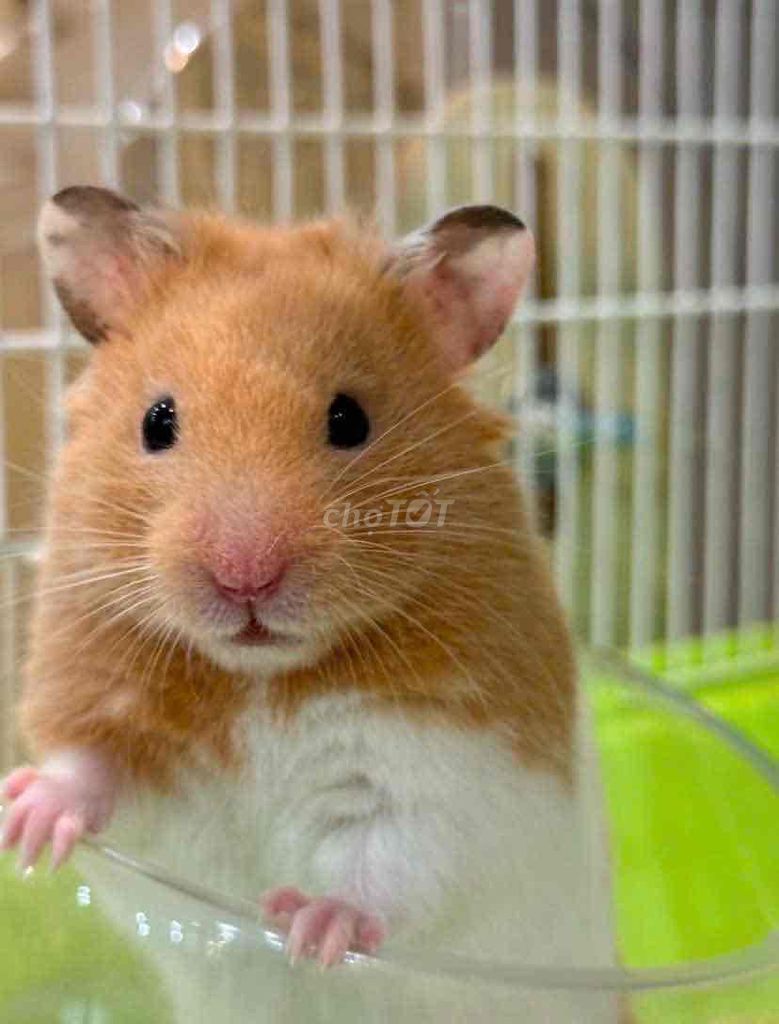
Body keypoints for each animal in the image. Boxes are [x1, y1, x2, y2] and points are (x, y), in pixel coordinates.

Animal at [1, 187, 616, 1020]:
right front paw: (23, 822)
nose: (244, 578)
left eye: (348, 419)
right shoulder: (109, 714)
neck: (259, 678)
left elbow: (388, 863)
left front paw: (306, 929)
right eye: (158, 420)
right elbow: (88, 769)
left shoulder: (448, 775)